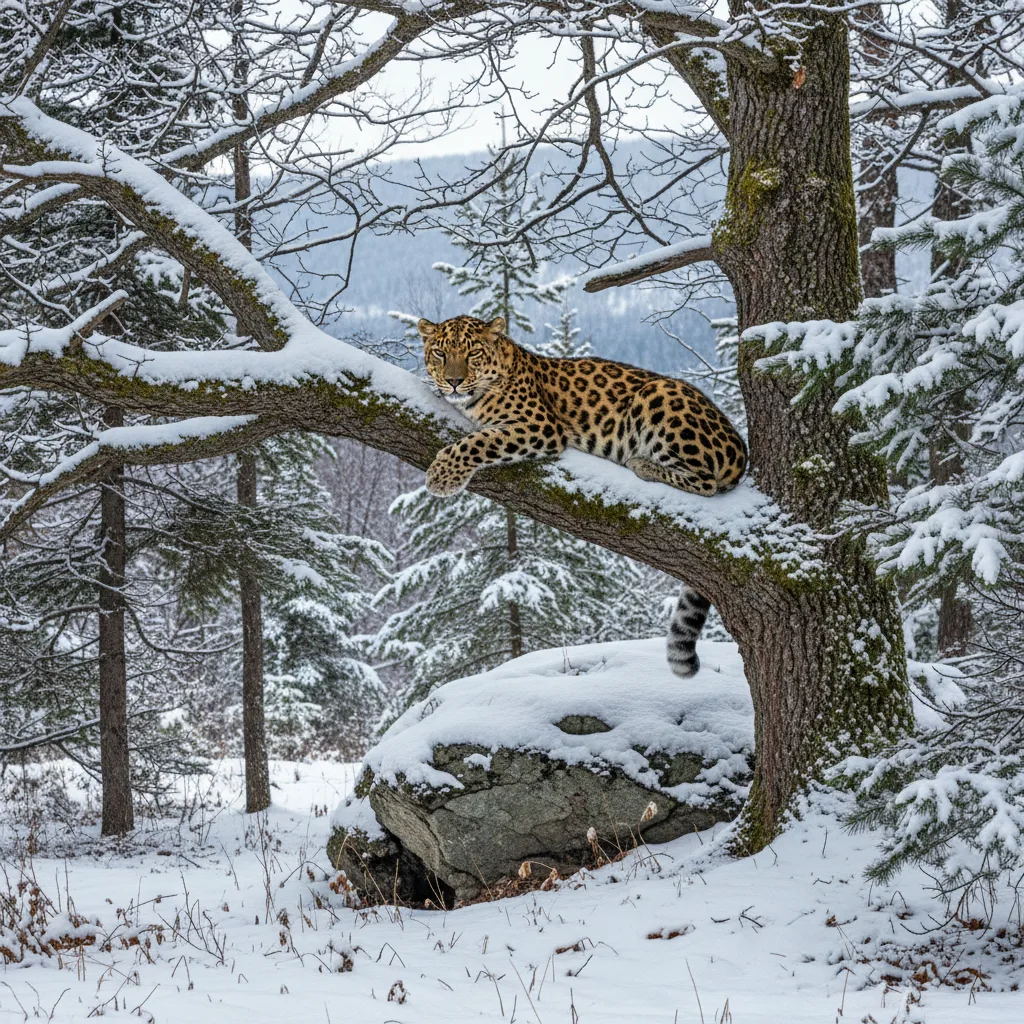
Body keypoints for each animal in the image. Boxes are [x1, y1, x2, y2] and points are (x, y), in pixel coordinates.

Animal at [418, 314, 747, 677]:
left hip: (659, 394)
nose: (454, 382)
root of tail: (741, 451)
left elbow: (478, 442)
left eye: (473, 353)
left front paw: (441, 475)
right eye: (439, 353)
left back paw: (642, 464)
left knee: (706, 482)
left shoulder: (538, 426)